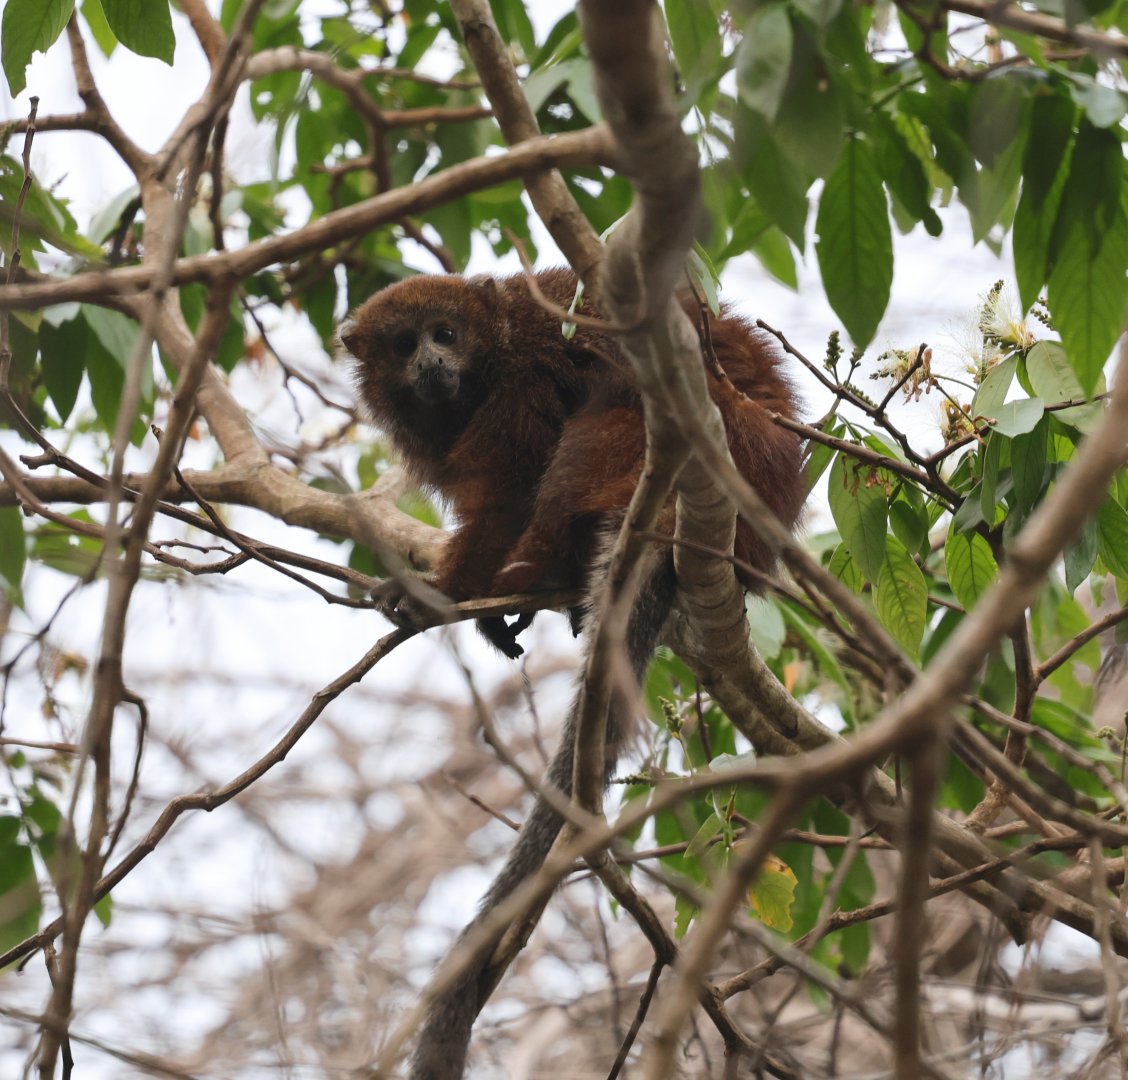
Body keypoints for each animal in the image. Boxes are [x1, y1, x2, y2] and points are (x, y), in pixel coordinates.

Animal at [339, 267, 804, 1078]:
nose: (430, 364)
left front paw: (446, 590)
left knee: (602, 418)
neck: (490, 352)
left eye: (445, 334)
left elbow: (510, 487)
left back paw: (542, 569)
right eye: (404, 344)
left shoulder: (519, 385)